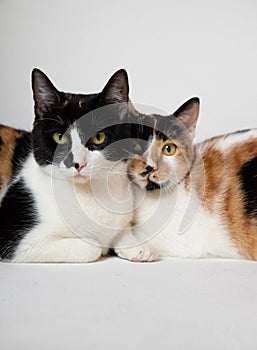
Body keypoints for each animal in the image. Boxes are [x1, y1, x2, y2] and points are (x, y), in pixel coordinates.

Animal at [0, 69, 154, 262]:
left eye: (98, 137)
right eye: (59, 137)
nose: (77, 163)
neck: (90, 193)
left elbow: (121, 230)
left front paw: (137, 246)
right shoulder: (17, 239)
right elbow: (92, 246)